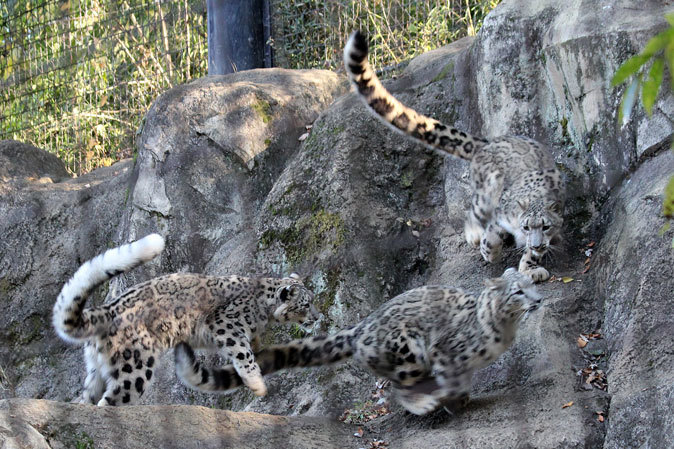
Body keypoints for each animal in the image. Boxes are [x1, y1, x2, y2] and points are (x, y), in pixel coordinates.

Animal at [52, 234, 318, 406]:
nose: (317, 316)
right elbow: (245, 356)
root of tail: (106, 310)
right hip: (134, 367)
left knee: (88, 397)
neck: (263, 313)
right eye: (306, 304)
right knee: (113, 398)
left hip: (96, 368)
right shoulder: (226, 325)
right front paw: (258, 385)